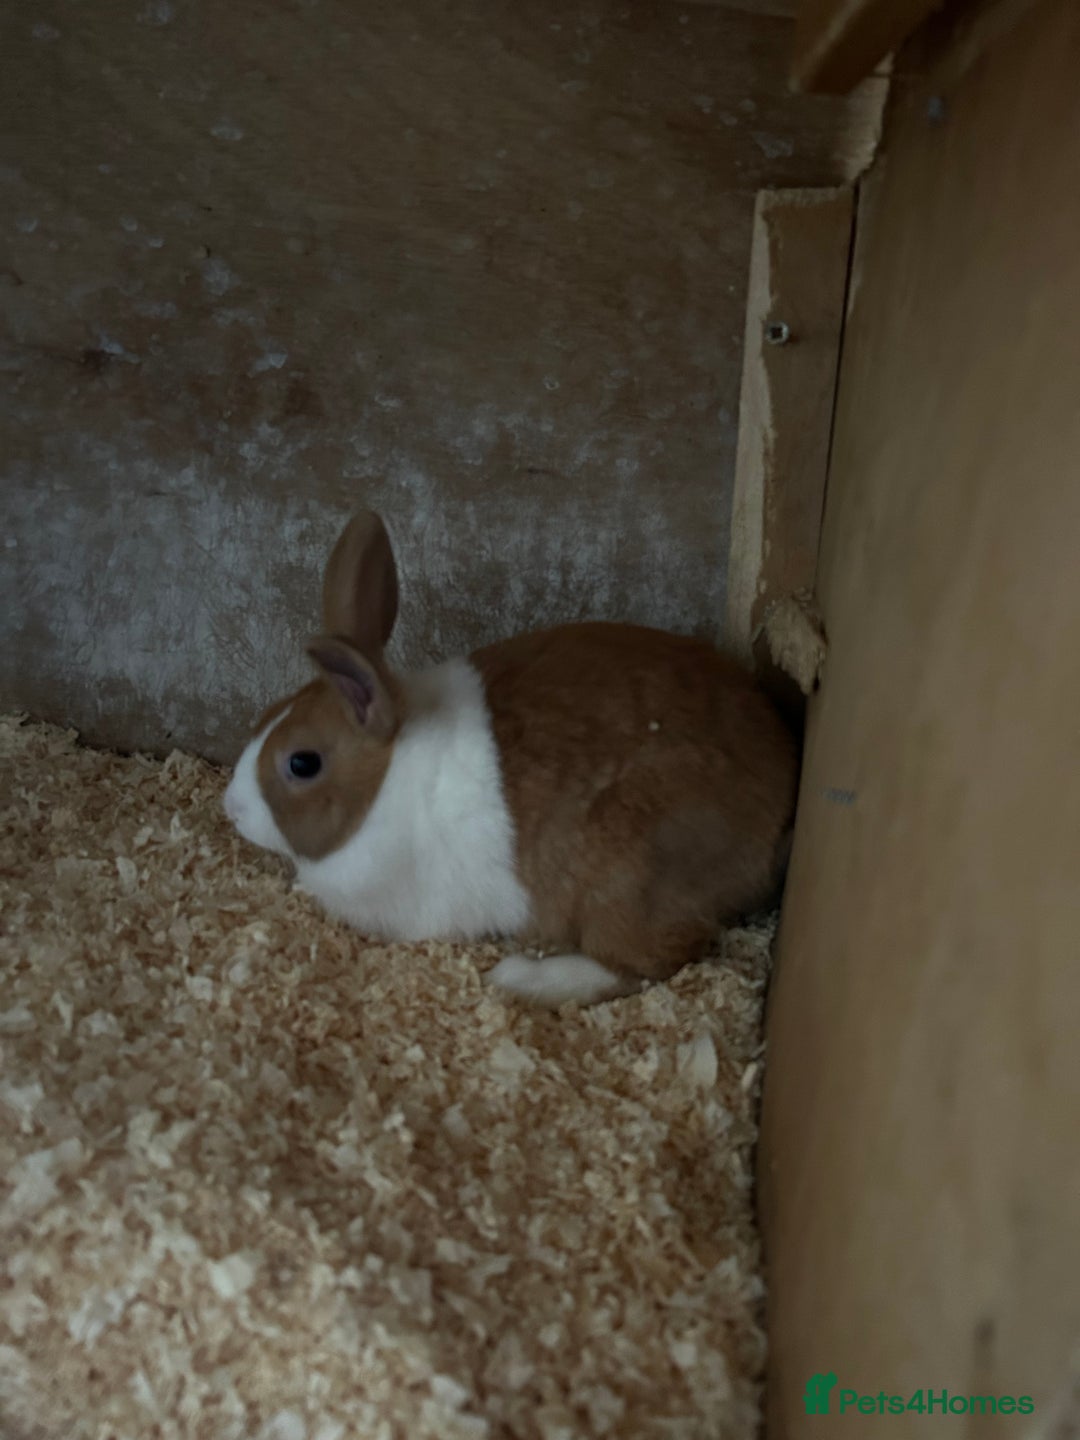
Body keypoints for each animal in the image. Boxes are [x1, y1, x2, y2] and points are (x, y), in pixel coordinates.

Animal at [223, 510, 799, 1007]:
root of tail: (776, 825)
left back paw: (524, 978)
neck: (387, 781)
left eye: (302, 763)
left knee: (644, 965)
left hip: (628, 882)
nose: (231, 808)